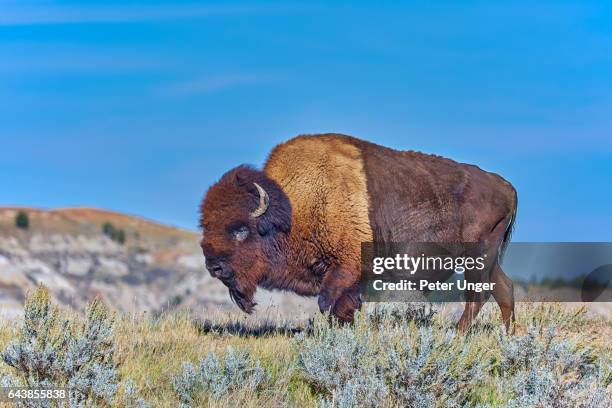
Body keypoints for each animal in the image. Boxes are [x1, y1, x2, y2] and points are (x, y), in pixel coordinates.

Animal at [200, 135, 516, 330]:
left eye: (241, 229)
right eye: (206, 225)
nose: (214, 266)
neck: (297, 206)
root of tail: (505, 186)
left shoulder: (344, 268)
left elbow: (328, 303)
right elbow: (342, 308)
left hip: (477, 257)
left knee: (478, 296)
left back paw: (459, 335)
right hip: (488, 260)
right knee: (504, 289)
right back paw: (508, 336)